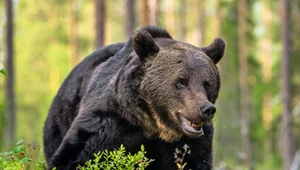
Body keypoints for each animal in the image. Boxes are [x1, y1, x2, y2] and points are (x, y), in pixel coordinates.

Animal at [42, 25, 225, 169]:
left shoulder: (190, 144)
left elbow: (194, 161)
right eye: (181, 81)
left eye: (207, 84)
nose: (206, 109)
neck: (152, 125)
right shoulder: (107, 123)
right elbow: (75, 156)